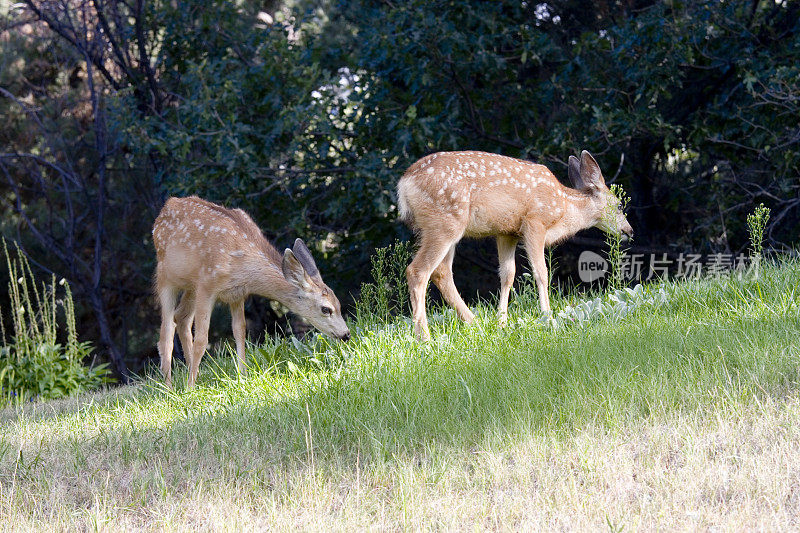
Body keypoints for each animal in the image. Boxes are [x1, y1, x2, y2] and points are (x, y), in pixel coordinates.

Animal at [153, 195, 346, 386]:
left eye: (339, 304)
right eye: (326, 309)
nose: (346, 334)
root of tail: (166, 206)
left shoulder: (237, 294)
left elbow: (240, 331)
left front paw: (243, 377)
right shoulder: (207, 285)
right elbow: (201, 339)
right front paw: (190, 388)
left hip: (191, 287)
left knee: (182, 317)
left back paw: (193, 373)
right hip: (165, 276)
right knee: (166, 332)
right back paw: (170, 386)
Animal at [398, 150, 632, 340]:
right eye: (619, 205)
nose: (629, 231)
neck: (564, 208)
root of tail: (405, 183)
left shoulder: (506, 232)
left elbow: (508, 274)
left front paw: (501, 321)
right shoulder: (535, 222)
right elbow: (541, 272)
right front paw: (547, 316)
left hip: (442, 227)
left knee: (441, 272)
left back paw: (474, 323)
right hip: (445, 222)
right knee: (418, 270)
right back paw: (425, 338)